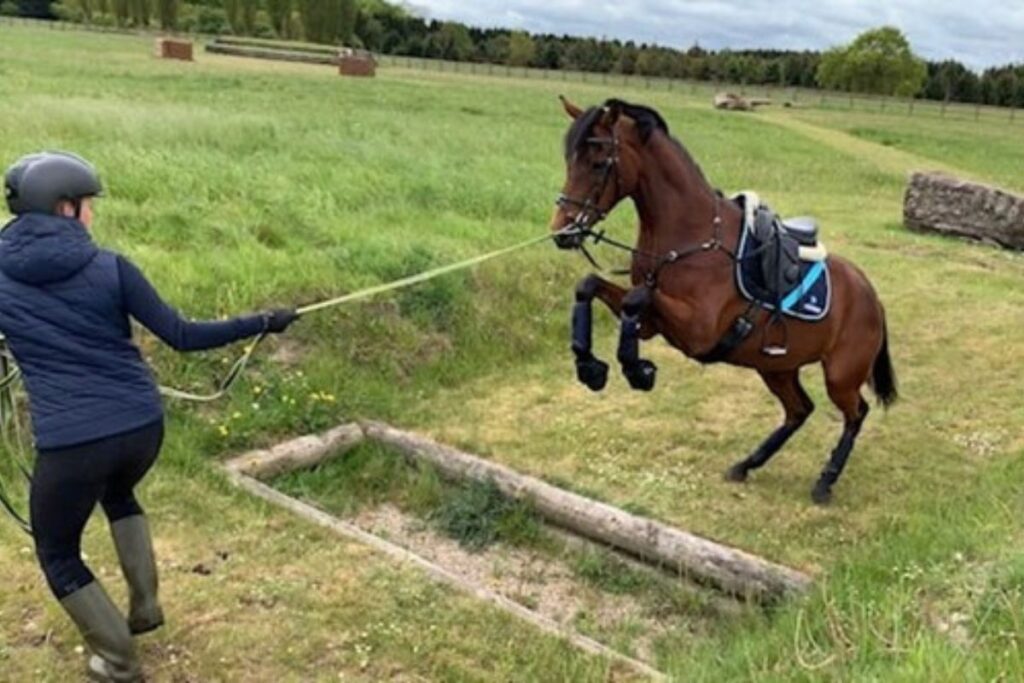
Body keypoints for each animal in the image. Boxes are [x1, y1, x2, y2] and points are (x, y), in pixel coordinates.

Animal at [552, 96, 897, 505]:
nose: (561, 232)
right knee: (799, 410)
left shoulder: (698, 330)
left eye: (599, 162)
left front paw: (637, 370)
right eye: (569, 160)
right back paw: (746, 464)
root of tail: (872, 297)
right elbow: (590, 285)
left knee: (855, 413)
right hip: (776, 367)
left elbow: (637, 297)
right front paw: (589, 366)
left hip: (841, 376)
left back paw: (824, 482)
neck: (690, 237)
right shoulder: (652, 324)